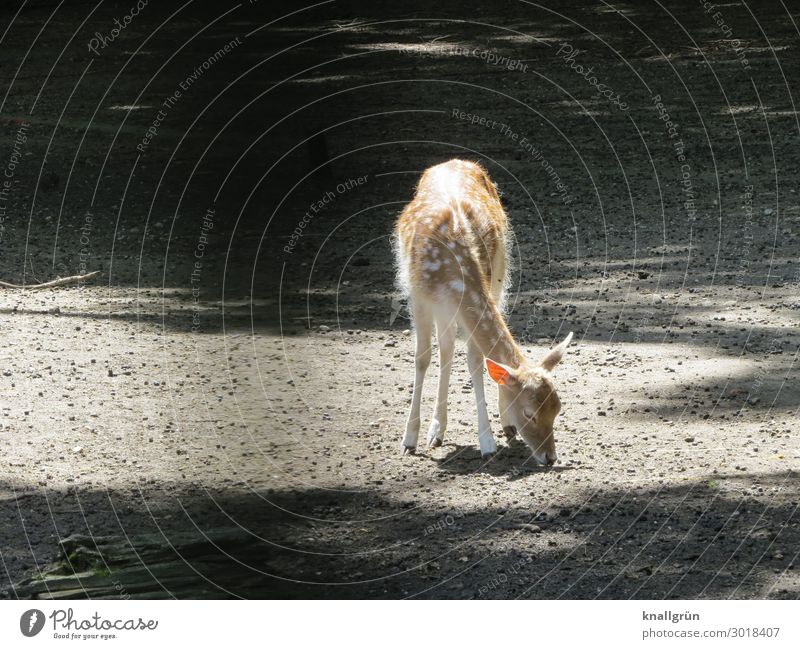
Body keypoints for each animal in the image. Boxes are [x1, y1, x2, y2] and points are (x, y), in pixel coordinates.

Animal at [392, 158, 568, 460]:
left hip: (498, 272)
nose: (550, 457)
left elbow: (476, 362)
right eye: (530, 413)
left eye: (557, 409)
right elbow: (422, 358)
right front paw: (409, 439)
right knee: (445, 349)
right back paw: (435, 431)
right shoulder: (417, 296)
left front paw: (487, 442)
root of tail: (452, 161)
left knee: (451, 349)